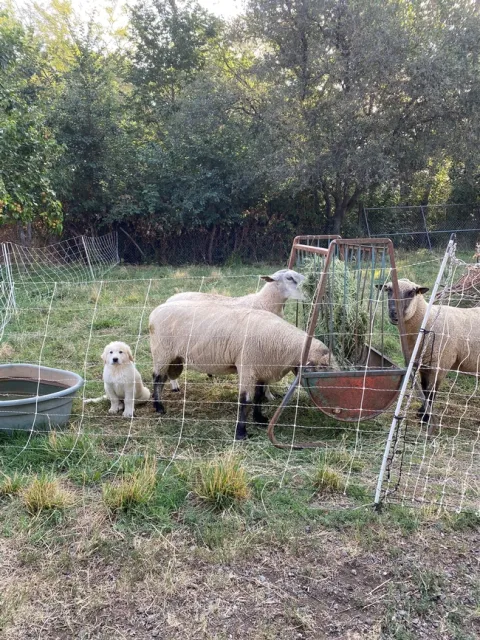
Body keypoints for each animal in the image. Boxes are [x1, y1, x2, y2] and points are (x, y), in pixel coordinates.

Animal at [149, 300, 337, 440]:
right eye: (322, 367)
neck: (285, 345)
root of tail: (155, 311)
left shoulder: (261, 370)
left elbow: (259, 397)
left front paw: (259, 419)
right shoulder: (247, 367)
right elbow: (245, 401)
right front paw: (241, 433)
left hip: (172, 359)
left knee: (162, 379)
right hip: (162, 353)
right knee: (157, 379)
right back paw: (159, 407)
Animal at [165, 268, 306, 399]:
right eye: (289, 278)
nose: (306, 293)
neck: (264, 302)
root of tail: (169, 299)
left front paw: (268, 395)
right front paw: (268, 395)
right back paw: (175, 386)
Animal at [378, 278, 480, 431]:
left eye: (412, 292)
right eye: (388, 290)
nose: (393, 313)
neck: (427, 321)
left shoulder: (440, 365)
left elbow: (431, 392)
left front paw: (426, 418)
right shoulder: (423, 364)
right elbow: (424, 389)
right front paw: (421, 412)